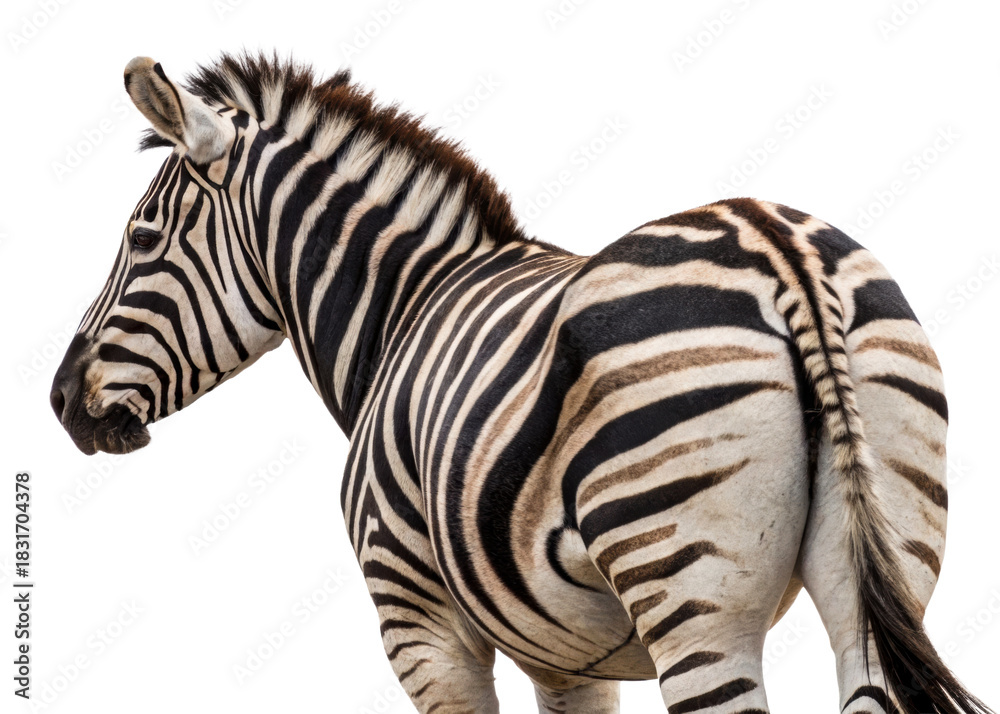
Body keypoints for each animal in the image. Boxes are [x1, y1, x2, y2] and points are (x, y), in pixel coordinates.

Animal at [49, 53, 991, 714]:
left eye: (141, 239)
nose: (62, 402)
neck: (406, 309)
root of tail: (778, 248)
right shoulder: (567, 657)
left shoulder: (420, 619)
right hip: (881, 555)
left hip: (695, 596)